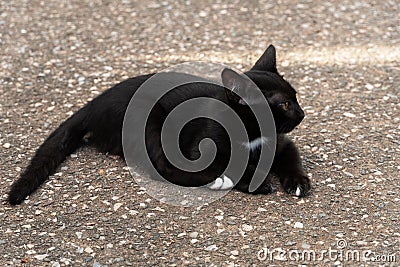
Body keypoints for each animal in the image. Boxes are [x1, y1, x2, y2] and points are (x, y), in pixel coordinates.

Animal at [7, 45, 310, 205]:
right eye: (284, 104)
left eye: (296, 96)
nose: (302, 113)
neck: (254, 133)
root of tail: (94, 103)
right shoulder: (200, 148)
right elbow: (229, 162)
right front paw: (254, 179)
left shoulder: (282, 143)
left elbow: (291, 158)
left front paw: (298, 181)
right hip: (149, 117)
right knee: (161, 168)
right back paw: (220, 181)